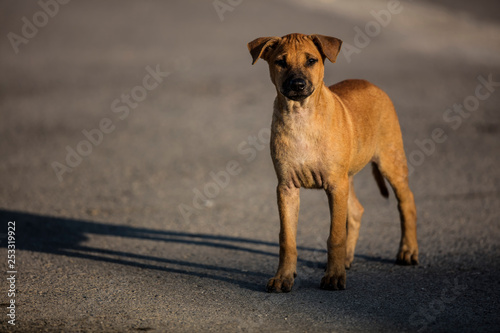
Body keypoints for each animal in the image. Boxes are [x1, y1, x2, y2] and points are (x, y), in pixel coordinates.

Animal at [249, 33, 418, 290]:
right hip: (348, 178)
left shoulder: (335, 186)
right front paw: (283, 277)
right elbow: (287, 239)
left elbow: (335, 235)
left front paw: (334, 277)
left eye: (311, 60)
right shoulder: (287, 187)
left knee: (406, 201)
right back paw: (347, 259)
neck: (301, 116)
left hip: (390, 161)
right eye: (280, 62)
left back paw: (408, 251)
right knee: (357, 211)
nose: (297, 85)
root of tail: (371, 83)